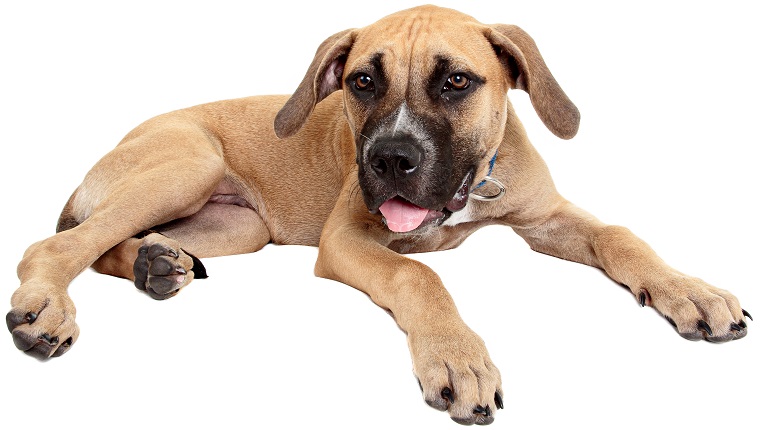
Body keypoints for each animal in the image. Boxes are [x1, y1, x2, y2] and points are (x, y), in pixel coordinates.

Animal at [5, 4, 748, 426]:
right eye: (362, 81)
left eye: (457, 81)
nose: (391, 158)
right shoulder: (347, 240)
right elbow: (420, 276)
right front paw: (456, 357)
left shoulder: (549, 217)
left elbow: (622, 235)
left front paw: (692, 292)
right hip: (186, 167)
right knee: (54, 246)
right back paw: (47, 310)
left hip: (238, 226)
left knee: (108, 242)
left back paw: (157, 262)